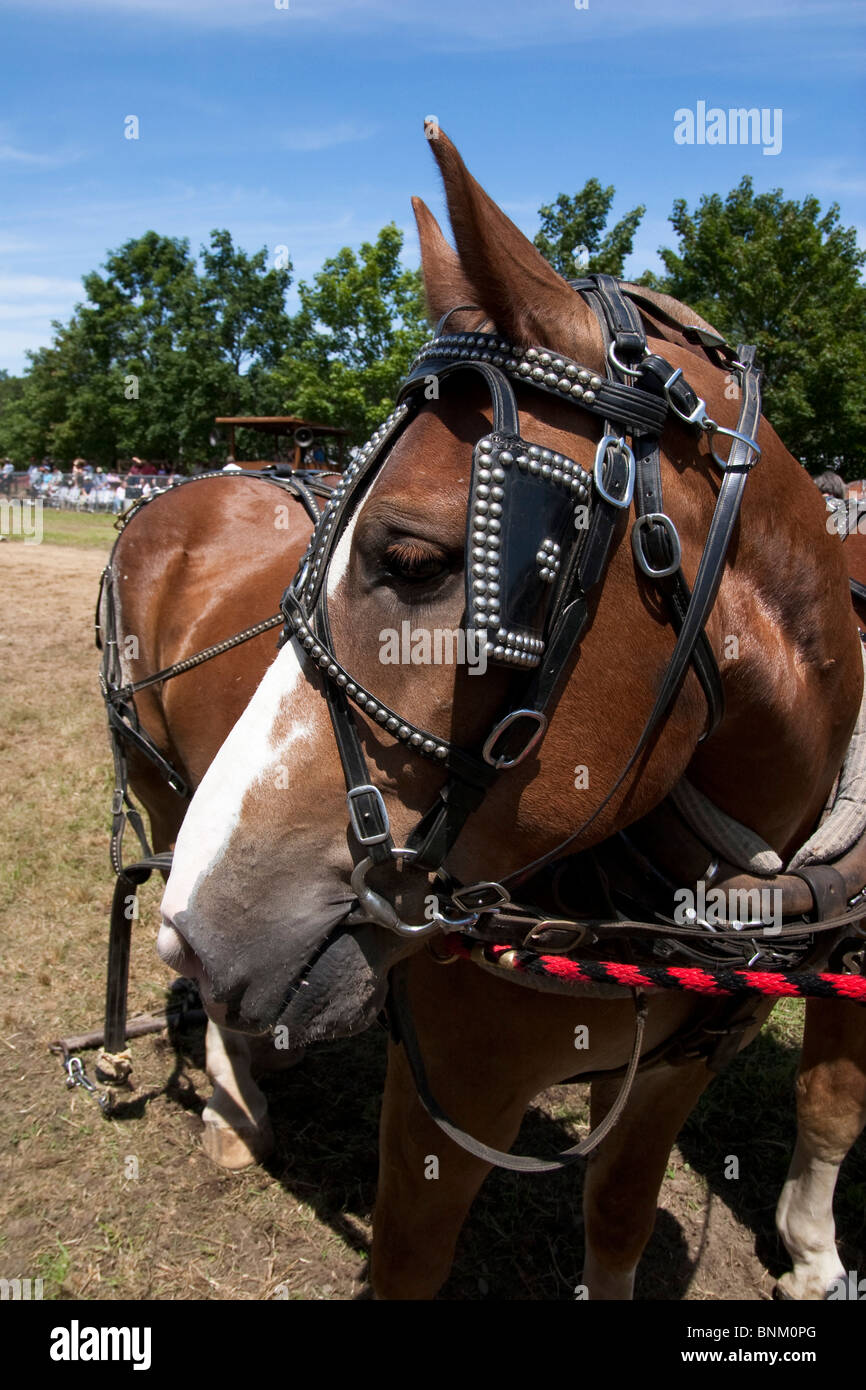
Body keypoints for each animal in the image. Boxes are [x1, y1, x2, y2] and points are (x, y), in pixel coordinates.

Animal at [157, 131, 866, 1300]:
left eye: (413, 560)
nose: (203, 927)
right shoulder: (448, 1093)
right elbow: (407, 1263)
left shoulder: (677, 1071)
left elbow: (620, 1219)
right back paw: (229, 1096)